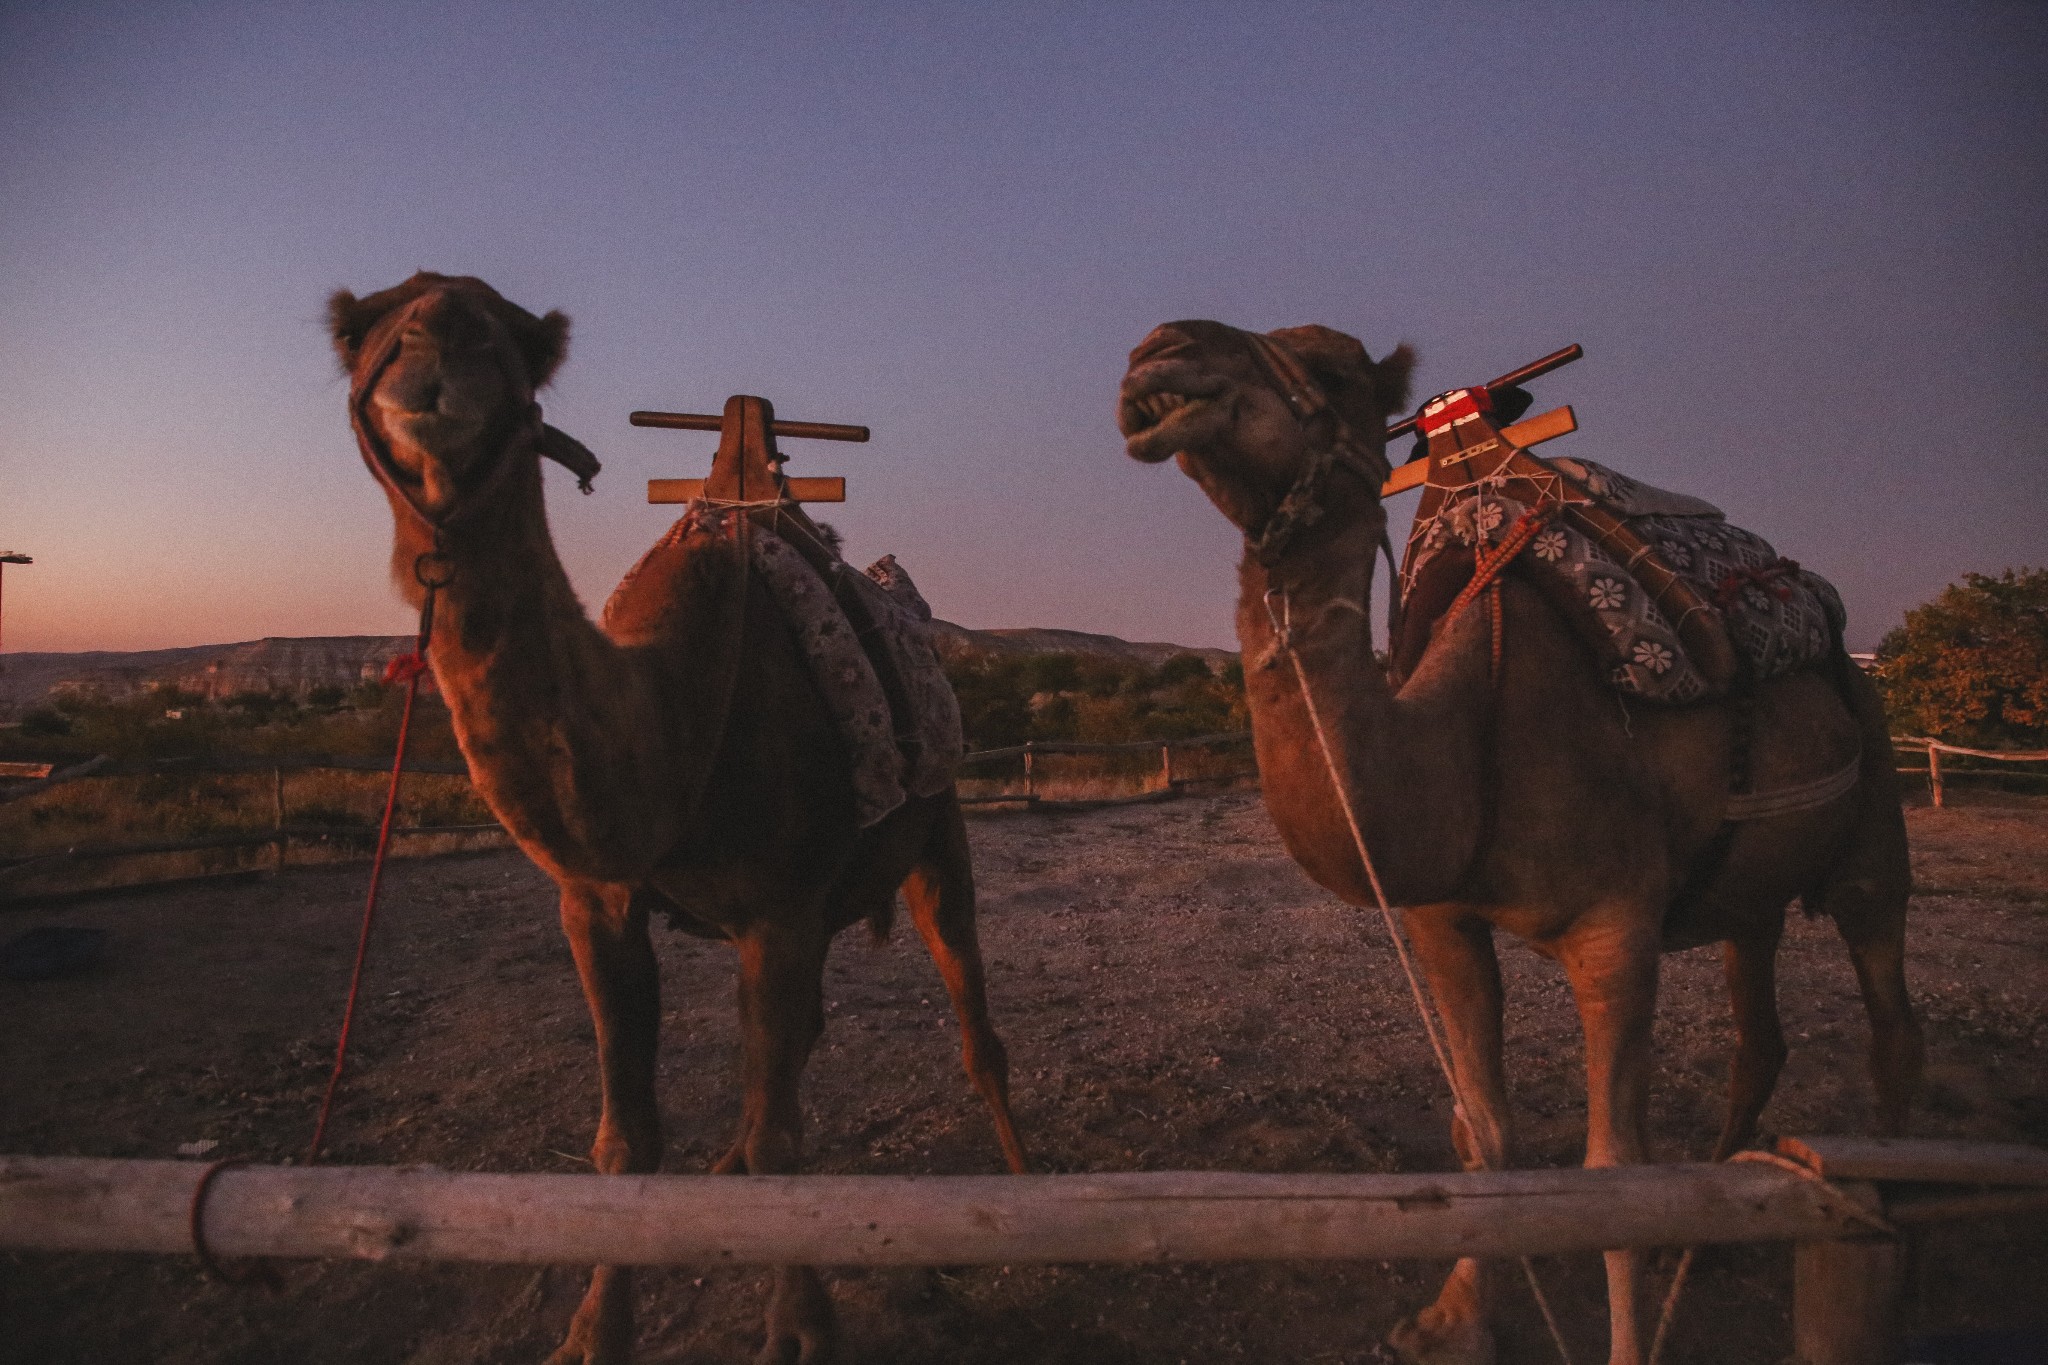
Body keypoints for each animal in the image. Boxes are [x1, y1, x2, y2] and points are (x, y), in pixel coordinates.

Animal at [335, 270, 1032, 1365]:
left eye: (524, 340)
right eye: (355, 328)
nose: (438, 352)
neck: (676, 708)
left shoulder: (781, 911)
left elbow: (786, 1137)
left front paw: (798, 1331)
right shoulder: (598, 905)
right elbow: (627, 1139)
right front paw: (591, 1332)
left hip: (938, 830)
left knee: (969, 1014)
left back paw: (1026, 1186)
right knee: (802, 1039)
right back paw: (723, 1170)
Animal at [1122, 323, 1916, 1365]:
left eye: (1332, 368)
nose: (1160, 352)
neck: (1475, 734)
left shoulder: (1617, 927)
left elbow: (1614, 1174)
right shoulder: (1441, 921)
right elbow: (1487, 1135)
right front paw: (1452, 1321)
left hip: (1875, 805)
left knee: (1887, 1007)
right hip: (1748, 888)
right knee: (1760, 1031)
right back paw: (1708, 1233)